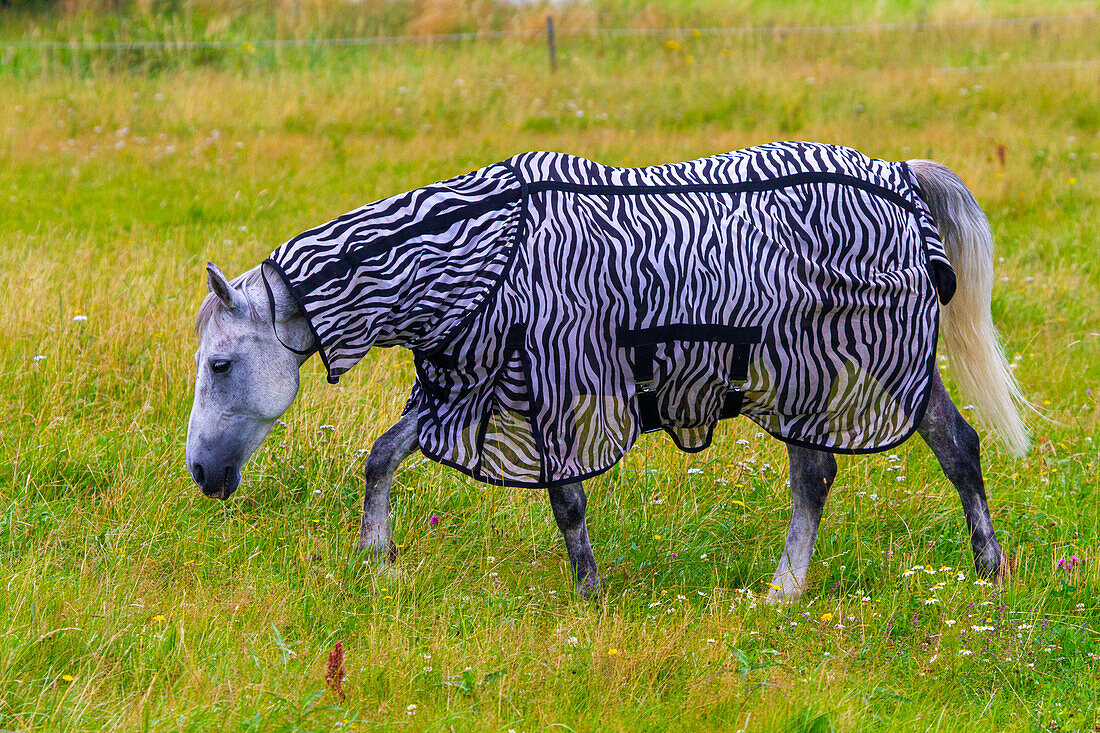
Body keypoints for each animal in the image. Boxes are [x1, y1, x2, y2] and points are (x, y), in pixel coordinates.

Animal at [184, 140, 1025, 598]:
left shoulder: (554, 389)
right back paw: (980, 572)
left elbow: (566, 500)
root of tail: (899, 177)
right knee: (952, 447)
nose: (201, 475)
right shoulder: (467, 389)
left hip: (831, 365)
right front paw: (379, 557)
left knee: (831, 471)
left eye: (221, 363)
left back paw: (789, 590)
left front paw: (589, 594)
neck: (480, 256)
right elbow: (382, 454)